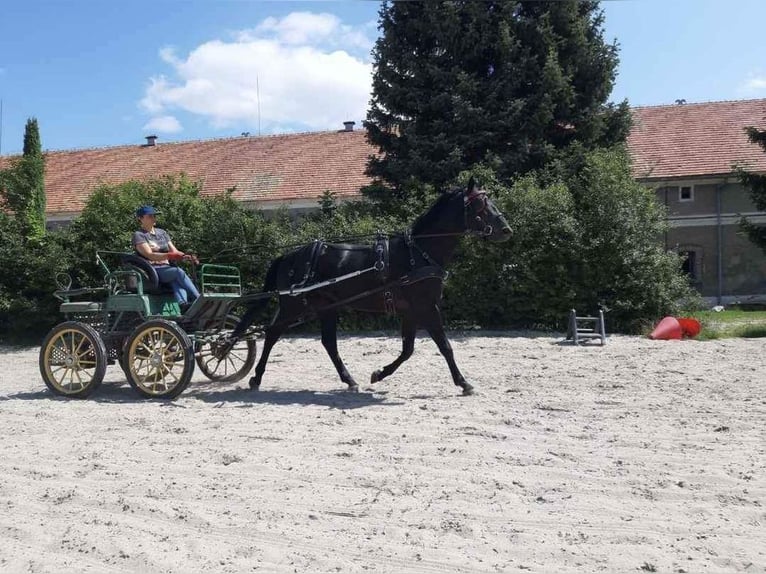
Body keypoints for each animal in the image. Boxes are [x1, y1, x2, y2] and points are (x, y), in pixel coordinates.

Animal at [232, 179, 510, 396]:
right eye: (481, 205)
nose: (506, 230)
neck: (419, 254)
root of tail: (288, 256)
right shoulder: (427, 308)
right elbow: (445, 346)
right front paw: (463, 383)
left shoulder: (411, 311)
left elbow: (408, 349)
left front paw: (379, 374)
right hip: (294, 305)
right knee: (272, 334)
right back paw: (256, 377)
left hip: (326, 307)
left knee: (327, 342)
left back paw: (349, 380)